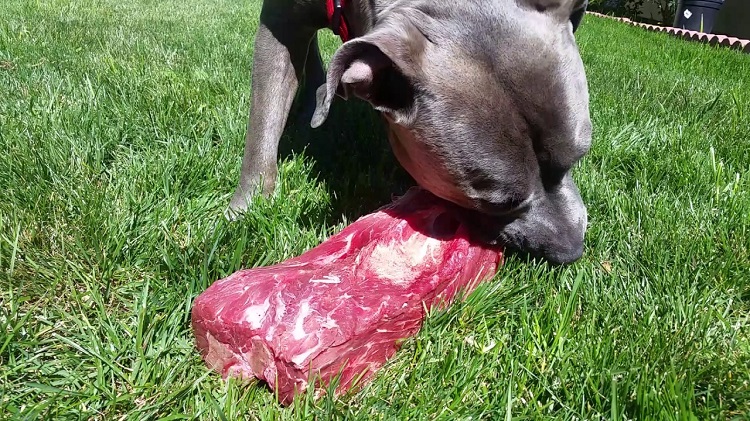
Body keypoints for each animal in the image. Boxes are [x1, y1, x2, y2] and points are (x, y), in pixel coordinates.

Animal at [229, 0, 592, 264]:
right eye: (498, 204)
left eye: (579, 157)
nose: (571, 252)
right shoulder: (279, 21)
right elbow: (264, 117)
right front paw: (244, 208)